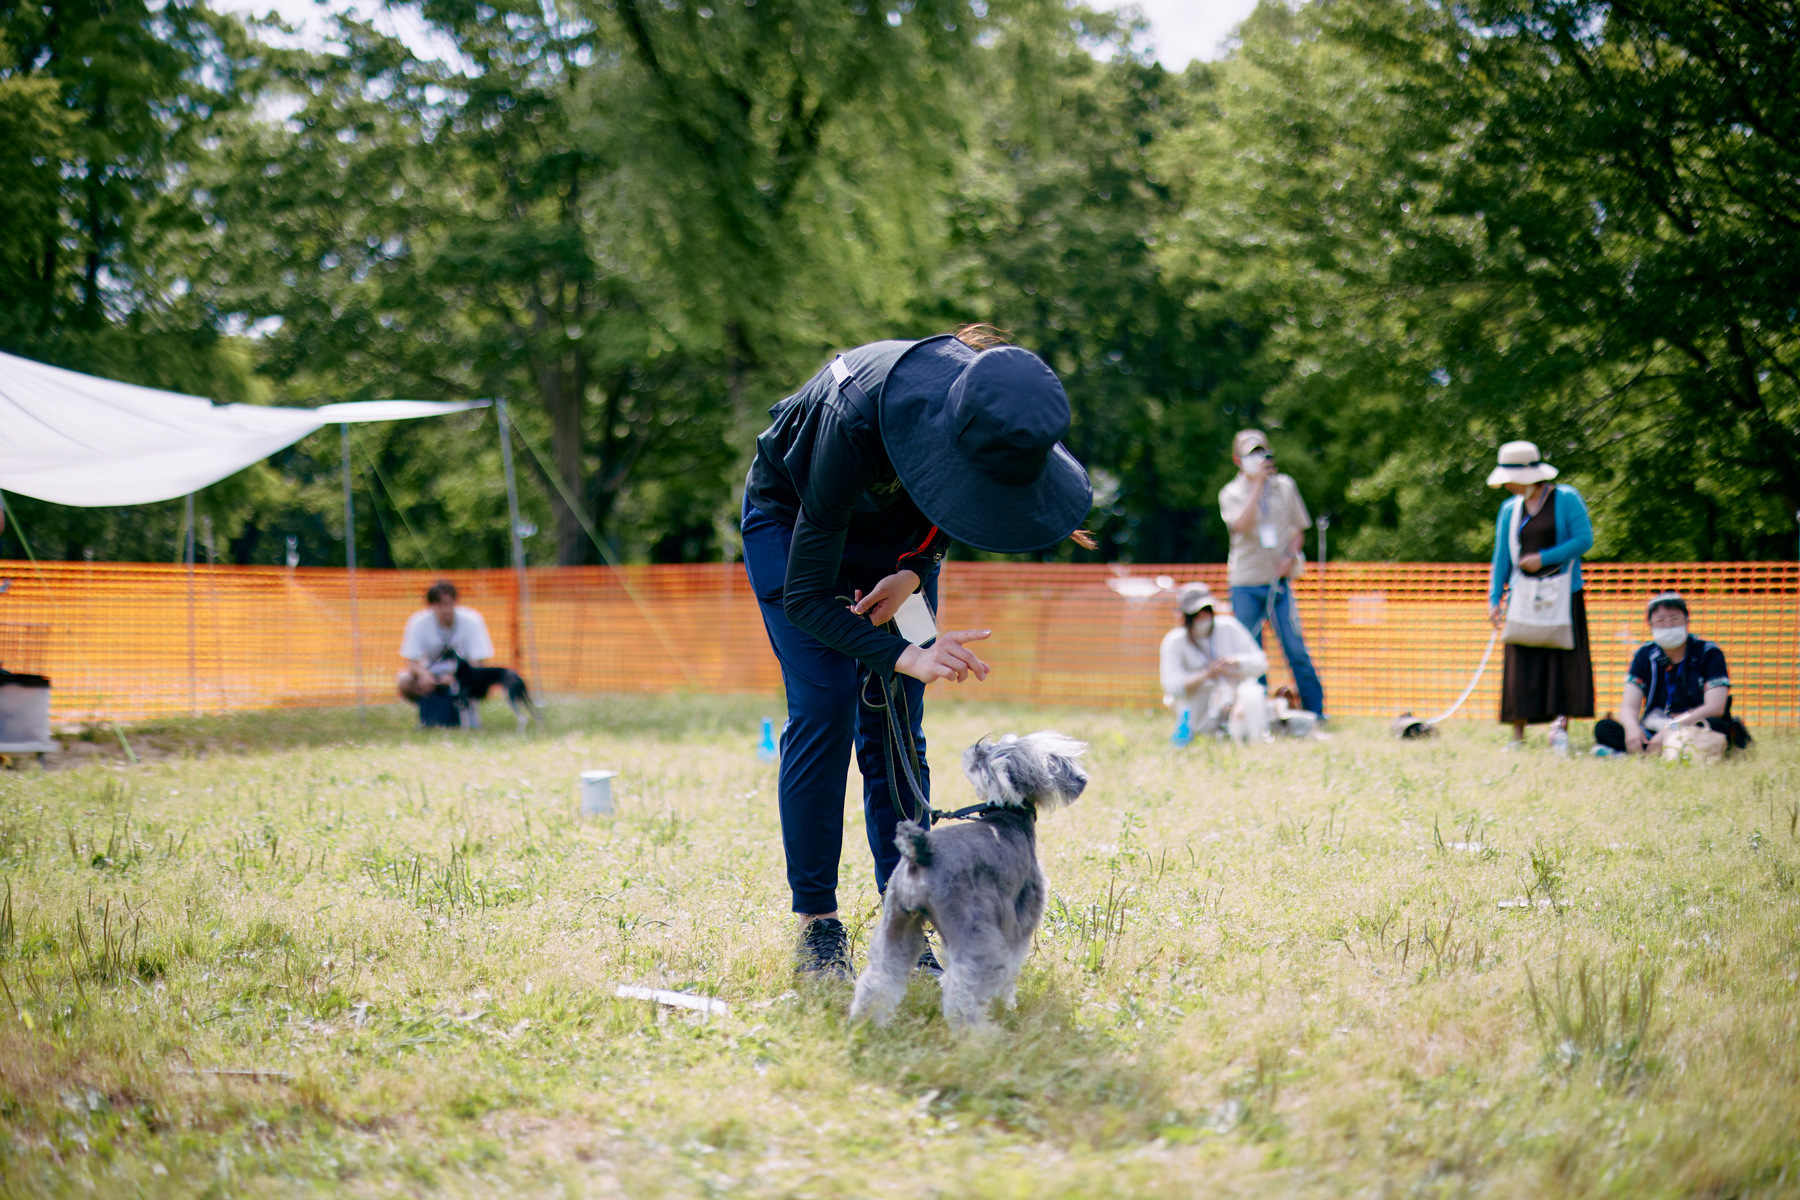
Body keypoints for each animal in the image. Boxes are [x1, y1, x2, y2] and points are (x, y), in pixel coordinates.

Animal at [849, 734, 1087, 1036]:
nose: (1079, 780)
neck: (1006, 818)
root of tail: (921, 854)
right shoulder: (1018, 923)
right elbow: (1010, 969)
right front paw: (1007, 1005)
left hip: (898, 925)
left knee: (878, 979)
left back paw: (865, 1024)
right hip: (974, 934)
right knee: (962, 993)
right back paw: (980, 1036)